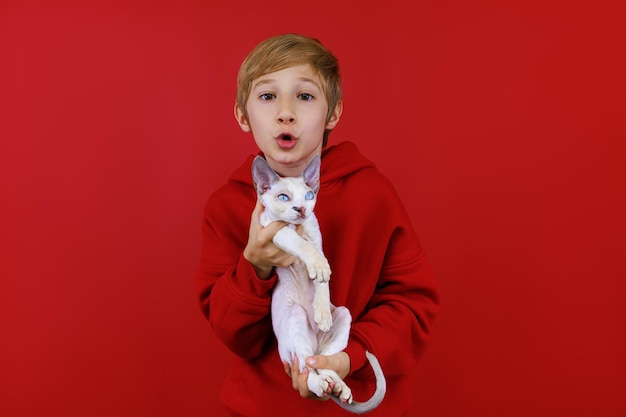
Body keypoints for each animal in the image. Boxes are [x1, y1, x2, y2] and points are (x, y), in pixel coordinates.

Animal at [251, 154, 382, 412]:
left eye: (309, 196)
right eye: (283, 197)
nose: (301, 209)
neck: (298, 226)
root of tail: (314, 345)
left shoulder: (316, 236)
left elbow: (323, 277)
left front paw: (322, 310)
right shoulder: (273, 230)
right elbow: (301, 245)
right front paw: (317, 265)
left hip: (343, 315)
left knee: (321, 362)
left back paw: (338, 385)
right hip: (295, 317)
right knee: (306, 366)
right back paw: (320, 385)